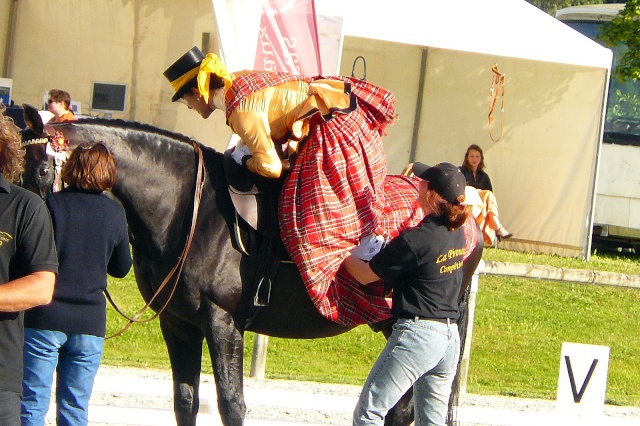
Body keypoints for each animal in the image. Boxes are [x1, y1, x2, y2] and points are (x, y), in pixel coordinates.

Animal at [28, 114, 480, 426]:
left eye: (42, 169)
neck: (186, 209)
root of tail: (468, 217)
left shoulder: (223, 323)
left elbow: (231, 404)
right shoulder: (178, 324)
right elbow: (186, 401)